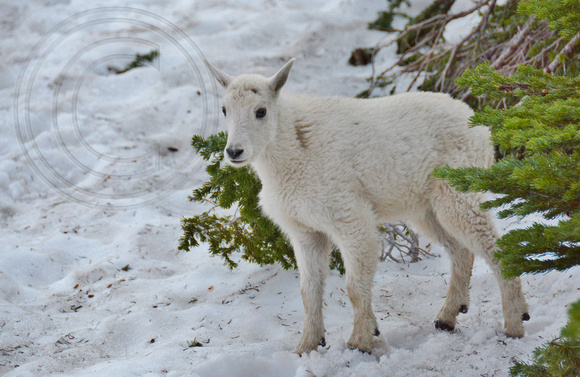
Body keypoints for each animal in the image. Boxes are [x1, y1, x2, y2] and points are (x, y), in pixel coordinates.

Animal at [206, 58, 528, 352]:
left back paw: (515, 321)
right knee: (460, 251)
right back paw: (448, 317)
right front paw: (308, 345)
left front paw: (361, 340)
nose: (234, 152)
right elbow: (308, 291)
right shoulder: (306, 231)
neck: (292, 149)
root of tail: (478, 123)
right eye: (224, 110)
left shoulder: (350, 217)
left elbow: (354, 286)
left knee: (492, 246)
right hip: (425, 208)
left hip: (458, 193)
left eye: (260, 111)